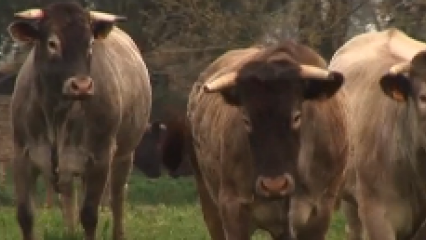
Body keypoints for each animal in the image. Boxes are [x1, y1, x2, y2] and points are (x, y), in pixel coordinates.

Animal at [7, 1, 152, 238]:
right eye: (52, 43)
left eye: (90, 43)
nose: (82, 86)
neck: (56, 114)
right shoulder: (22, 154)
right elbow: (25, 215)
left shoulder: (99, 158)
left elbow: (89, 215)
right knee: (69, 196)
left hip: (124, 154)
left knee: (117, 196)